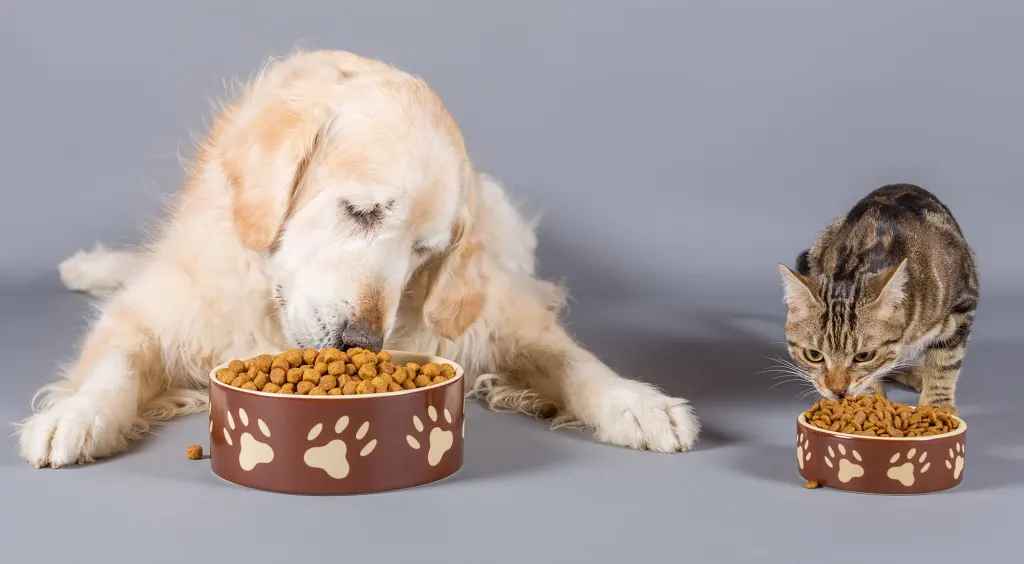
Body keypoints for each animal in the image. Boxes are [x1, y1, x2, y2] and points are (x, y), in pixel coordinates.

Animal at [19, 52, 700, 468]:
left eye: (426, 251)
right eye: (363, 211)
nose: (362, 342)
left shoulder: (498, 322)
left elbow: (573, 360)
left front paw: (639, 404)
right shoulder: (156, 315)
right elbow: (116, 362)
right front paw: (74, 415)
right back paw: (89, 266)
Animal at [778, 185, 978, 405]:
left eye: (864, 356)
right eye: (813, 355)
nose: (838, 391)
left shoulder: (963, 304)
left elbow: (945, 363)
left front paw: (936, 405)